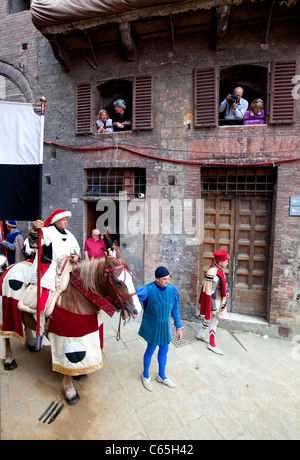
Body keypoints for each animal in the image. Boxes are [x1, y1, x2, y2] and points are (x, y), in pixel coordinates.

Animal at [0, 255, 142, 406]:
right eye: (117, 281)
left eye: (131, 277)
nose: (137, 311)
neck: (79, 297)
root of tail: (11, 266)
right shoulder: (67, 337)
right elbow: (68, 367)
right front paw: (70, 392)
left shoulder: (88, 333)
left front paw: (80, 374)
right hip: (7, 307)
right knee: (6, 335)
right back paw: (9, 360)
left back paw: (32, 343)